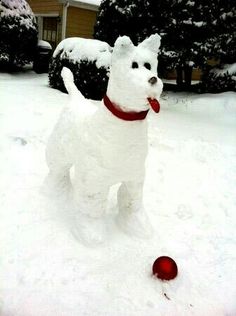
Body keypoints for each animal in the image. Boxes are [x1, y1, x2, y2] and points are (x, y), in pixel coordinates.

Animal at [45, 34, 163, 246]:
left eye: (149, 65)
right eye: (133, 65)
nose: (152, 79)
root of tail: (77, 99)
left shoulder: (134, 177)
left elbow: (131, 201)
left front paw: (135, 226)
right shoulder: (93, 182)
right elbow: (92, 207)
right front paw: (90, 233)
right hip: (59, 152)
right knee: (57, 171)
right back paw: (54, 192)